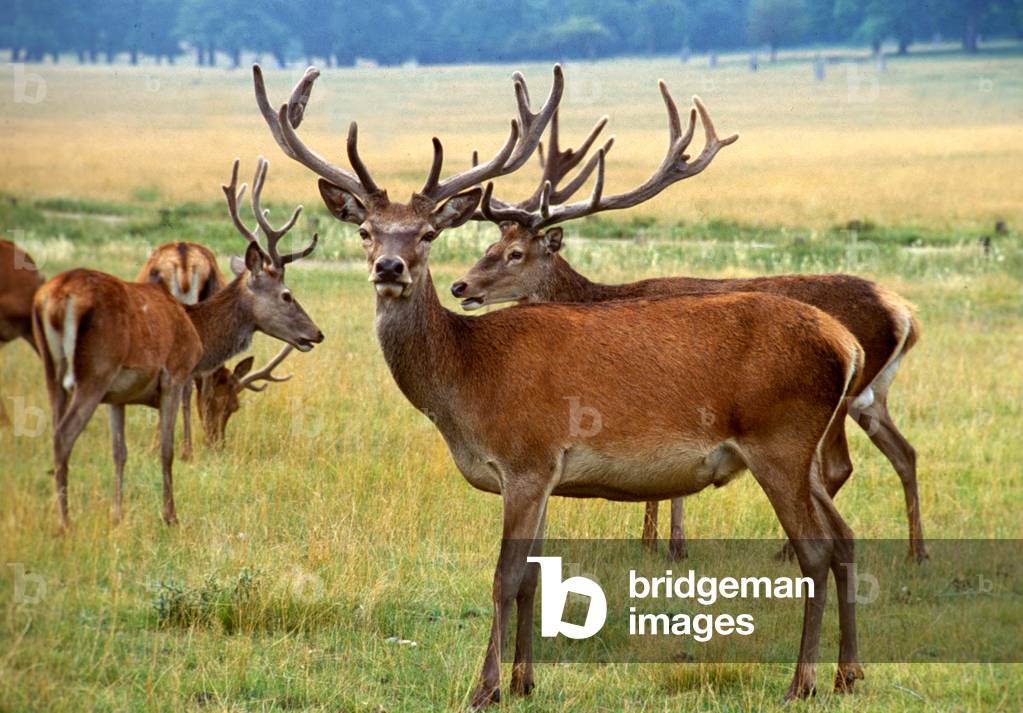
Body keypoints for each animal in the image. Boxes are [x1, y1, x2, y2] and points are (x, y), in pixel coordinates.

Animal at [256, 65, 866, 706]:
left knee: (815, 551)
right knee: (846, 537)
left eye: (426, 234)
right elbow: (531, 578)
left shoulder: (525, 457)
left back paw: (801, 683)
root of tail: (847, 345)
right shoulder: (544, 473)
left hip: (779, 440)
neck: (466, 385)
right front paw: (525, 680)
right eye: (367, 232)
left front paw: (484, 688)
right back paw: (849, 674)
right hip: (804, 451)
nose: (389, 268)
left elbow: (503, 577)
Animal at [452, 87, 925, 563]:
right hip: (872, 397)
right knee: (903, 453)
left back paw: (791, 553)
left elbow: (667, 483)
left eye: (515, 254)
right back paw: (915, 552)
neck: (598, 296)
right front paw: (659, 541)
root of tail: (904, 313)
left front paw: (664, 544)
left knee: (837, 467)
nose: (460, 285)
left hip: (831, 402)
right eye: (490, 246)